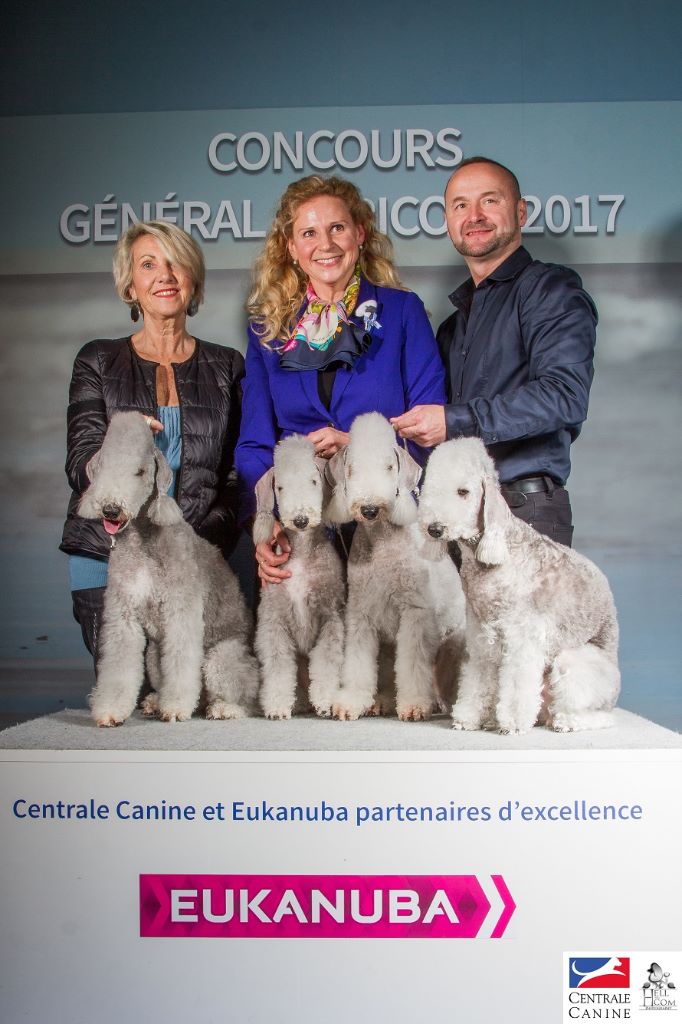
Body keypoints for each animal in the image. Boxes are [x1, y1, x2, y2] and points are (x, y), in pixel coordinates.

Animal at [78, 411, 258, 724]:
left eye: (140, 472)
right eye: (103, 467)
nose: (111, 509)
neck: (142, 540)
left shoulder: (180, 613)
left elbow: (181, 663)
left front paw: (174, 708)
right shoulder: (123, 614)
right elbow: (118, 665)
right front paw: (110, 710)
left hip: (221, 658)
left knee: (242, 694)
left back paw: (223, 708)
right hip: (153, 655)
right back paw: (154, 701)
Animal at [250, 434, 346, 720]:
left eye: (313, 481)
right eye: (280, 487)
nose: (301, 519)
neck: (302, 552)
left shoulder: (330, 617)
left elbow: (326, 664)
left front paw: (326, 702)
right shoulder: (274, 621)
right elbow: (278, 666)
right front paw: (277, 706)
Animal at [323, 411, 462, 724]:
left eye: (388, 467)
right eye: (352, 468)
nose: (369, 509)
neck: (381, 539)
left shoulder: (415, 612)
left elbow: (412, 666)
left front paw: (414, 705)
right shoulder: (361, 612)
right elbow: (357, 664)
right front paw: (350, 703)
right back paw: (381, 701)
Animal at [417, 436, 618, 733]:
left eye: (463, 492)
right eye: (430, 488)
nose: (435, 529)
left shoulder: (522, 638)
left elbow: (516, 683)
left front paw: (511, 723)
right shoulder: (481, 635)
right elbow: (477, 680)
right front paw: (468, 718)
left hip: (576, 665)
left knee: (598, 713)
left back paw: (566, 721)